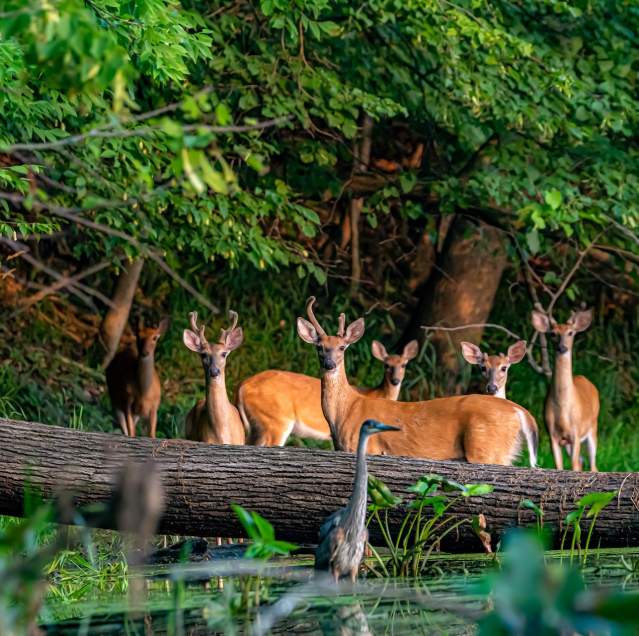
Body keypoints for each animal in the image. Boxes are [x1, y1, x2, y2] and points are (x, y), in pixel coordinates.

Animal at [236, 338, 420, 448]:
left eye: (404, 364)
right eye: (386, 365)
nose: (395, 380)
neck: (375, 393)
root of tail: (242, 386)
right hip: (276, 420)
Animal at [528, 308, 600, 472]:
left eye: (571, 333)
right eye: (553, 333)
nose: (562, 347)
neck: (563, 407)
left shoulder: (576, 433)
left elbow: (573, 466)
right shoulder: (552, 435)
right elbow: (559, 466)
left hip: (592, 427)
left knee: (593, 465)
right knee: (582, 461)